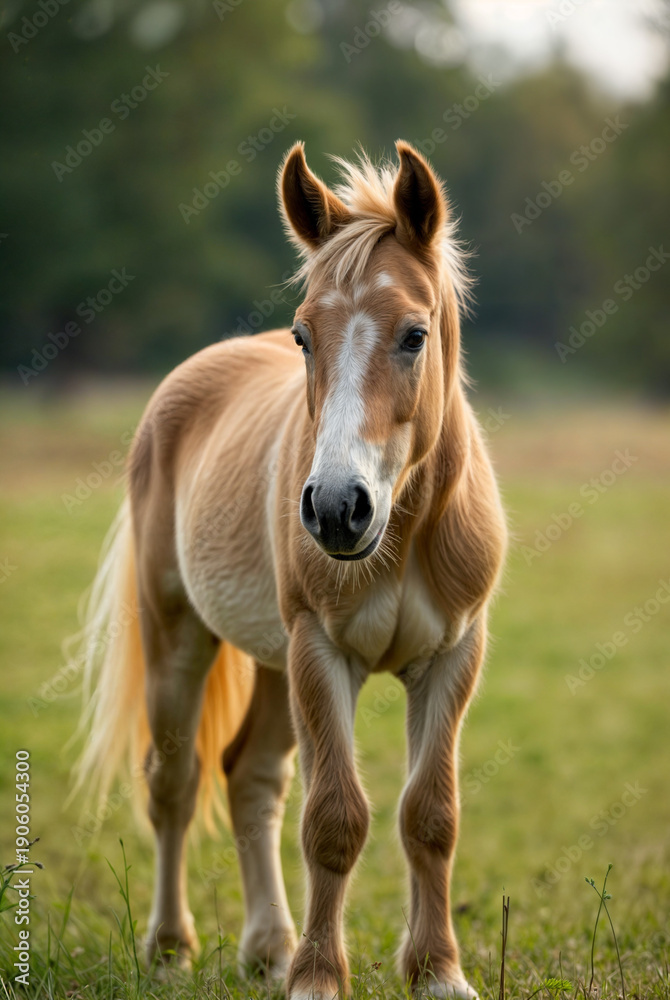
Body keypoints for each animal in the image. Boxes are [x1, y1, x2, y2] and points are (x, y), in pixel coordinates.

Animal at [74, 140, 507, 1000]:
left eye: (415, 334)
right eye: (305, 336)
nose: (338, 508)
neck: (405, 529)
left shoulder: (452, 657)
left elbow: (430, 816)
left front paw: (437, 971)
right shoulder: (321, 652)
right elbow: (334, 818)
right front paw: (317, 978)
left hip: (275, 667)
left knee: (250, 778)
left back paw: (267, 947)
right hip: (181, 636)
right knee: (175, 782)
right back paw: (172, 946)